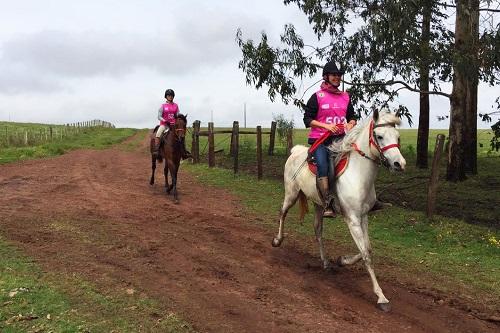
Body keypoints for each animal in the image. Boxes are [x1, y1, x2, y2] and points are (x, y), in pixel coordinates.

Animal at [274, 109, 406, 312]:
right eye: (380, 136)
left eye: (398, 137)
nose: (399, 164)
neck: (359, 175)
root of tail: (295, 151)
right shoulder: (352, 220)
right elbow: (366, 254)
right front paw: (381, 297)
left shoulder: (363, 217)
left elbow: (367, 248)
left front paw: (342, 260)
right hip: (291, 194)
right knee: (283, 213)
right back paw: (278, 240)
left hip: (319, 204)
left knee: (318, 230)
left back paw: (326, 262)